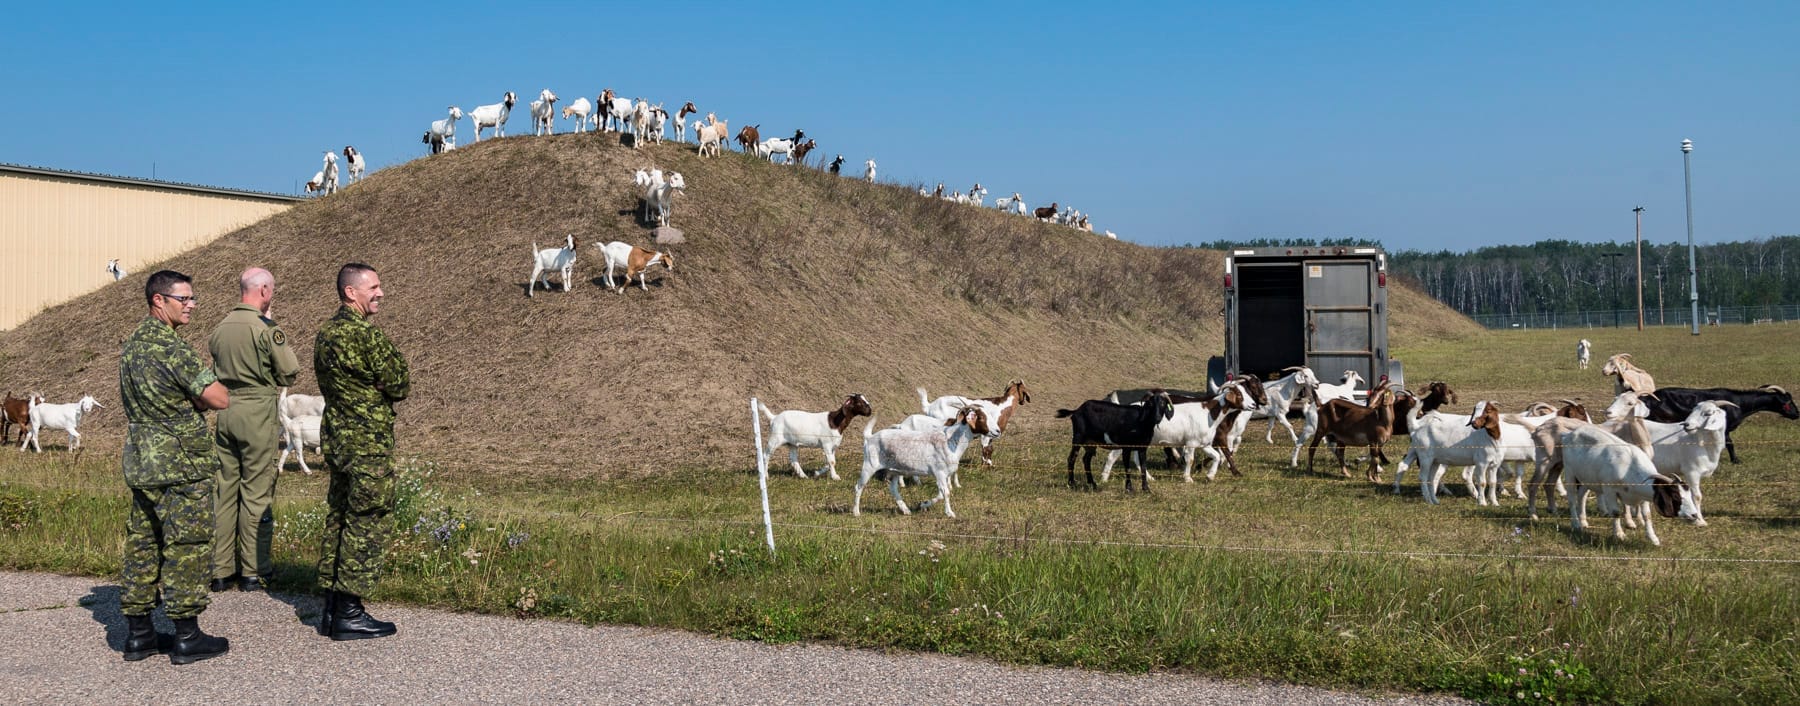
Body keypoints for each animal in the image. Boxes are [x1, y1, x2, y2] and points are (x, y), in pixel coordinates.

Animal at [1051, 389, 1180, 493]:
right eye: (1151, 404)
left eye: (1163, 403)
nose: (1157, 418)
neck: (1141, 422)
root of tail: (1076, 410)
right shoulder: (1126, 447)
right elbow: (1127, 468)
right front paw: (1129, 488)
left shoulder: (1142, 448)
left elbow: (1143, 467)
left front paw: (1146, 489)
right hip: (1078, 437)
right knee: (1072, 458)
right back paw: (1072, 483)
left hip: (1091, 442)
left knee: (1086, 460)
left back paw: (1092, 484)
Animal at [1641, 385, 1792, 464]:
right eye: (1787, 402)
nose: (1796, 414)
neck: (1739, 403)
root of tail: (1649, 398)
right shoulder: (1725, 429)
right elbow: (1729, 443)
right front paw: (1736, 460)